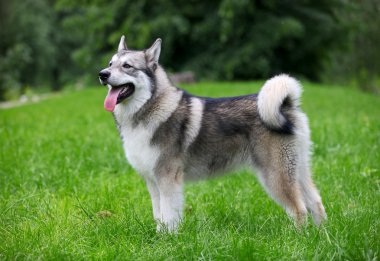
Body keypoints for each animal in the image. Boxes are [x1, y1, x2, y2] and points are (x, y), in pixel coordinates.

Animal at [98, 35, 326, 231]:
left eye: (127, 66)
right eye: (110, 64)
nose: (102, 74)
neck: (150, 107)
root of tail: (287, 104)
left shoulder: (168, 179)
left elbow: (169, 217)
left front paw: (168, 241)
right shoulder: (153, 183)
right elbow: (159, 216)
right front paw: (159, 238)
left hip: (275, 175)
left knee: (299, 209)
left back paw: (298, 238)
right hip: (297, 170)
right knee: (316, 202)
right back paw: (320, 236)